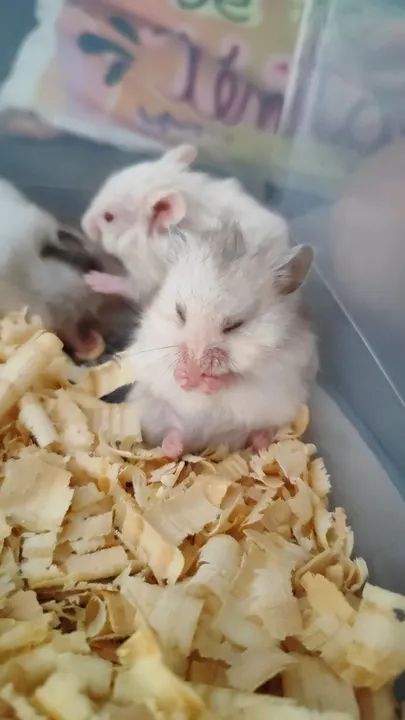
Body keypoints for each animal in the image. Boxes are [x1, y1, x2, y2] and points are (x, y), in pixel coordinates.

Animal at [127, 224, 317, 458]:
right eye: (180, 312)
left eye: (234, 325)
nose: (194, 367)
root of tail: (201, 441)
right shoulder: (152, 348)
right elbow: (167, 371)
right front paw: (185, 377)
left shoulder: (278, 371)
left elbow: (237, 380)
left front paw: (209, 382)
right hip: (152, 409)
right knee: (171, 431)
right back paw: (172, 447)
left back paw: (261, 445)